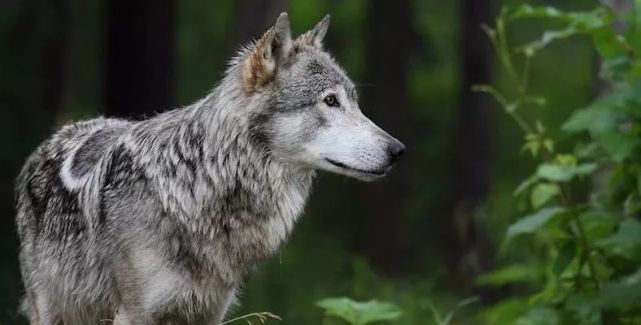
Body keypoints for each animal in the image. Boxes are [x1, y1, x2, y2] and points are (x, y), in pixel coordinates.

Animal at [15, 13, 402, 324]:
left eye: (353, 101)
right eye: (330, 101)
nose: (398, 150)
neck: (204, 180)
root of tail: (64, 130)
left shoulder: (211, 312)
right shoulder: (135, 314)